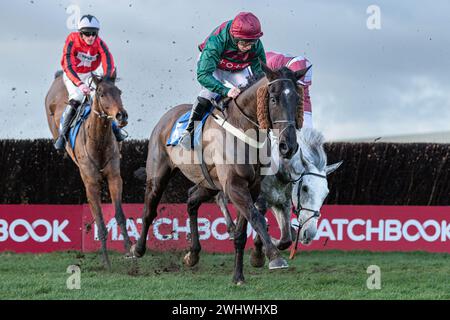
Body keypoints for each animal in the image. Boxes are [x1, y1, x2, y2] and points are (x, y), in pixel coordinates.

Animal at [44, 71, 131, 268]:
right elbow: (100, 221)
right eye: (101, 94)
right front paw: (106, 261)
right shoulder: (91, 184)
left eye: (119, 92)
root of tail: (58, 77)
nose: (121, 116)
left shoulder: (115, 178)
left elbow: (120, 215)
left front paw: (130, 251)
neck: (98, 141)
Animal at [132, 63, 312, 284]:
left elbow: (244, 229)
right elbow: (257, 218)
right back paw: (137, 249)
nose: (289, 146)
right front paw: (274, 257)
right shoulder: (234, 185)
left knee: (192, 200)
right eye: (273, 99)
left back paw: (193, 254)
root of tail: (167, 116)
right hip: (158, 174)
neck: (244, 128)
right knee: (149, 210)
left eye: (297, 99)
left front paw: (238, 275)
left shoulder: (250, 187)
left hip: (209, 183)